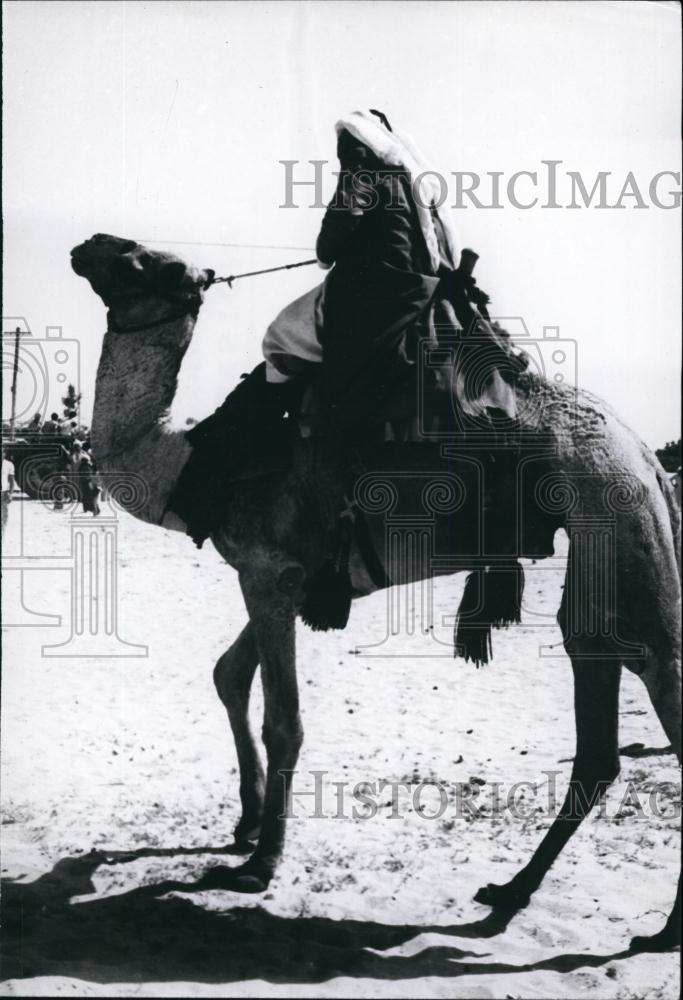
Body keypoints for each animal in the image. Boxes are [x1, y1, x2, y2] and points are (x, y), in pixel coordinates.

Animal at [72, 234, 680, 952]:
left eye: (145, 260)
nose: (87, 246)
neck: (189, 459)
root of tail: (646, 454)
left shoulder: (268, 572)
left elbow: (283, 720)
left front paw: (259, 864)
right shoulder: (283, 576)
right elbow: (228, 674)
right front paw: (245, 824)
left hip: (612, 515)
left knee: (646, 662)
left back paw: (656, 928)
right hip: (605, 544)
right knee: (599, 722)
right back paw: (510, 892)